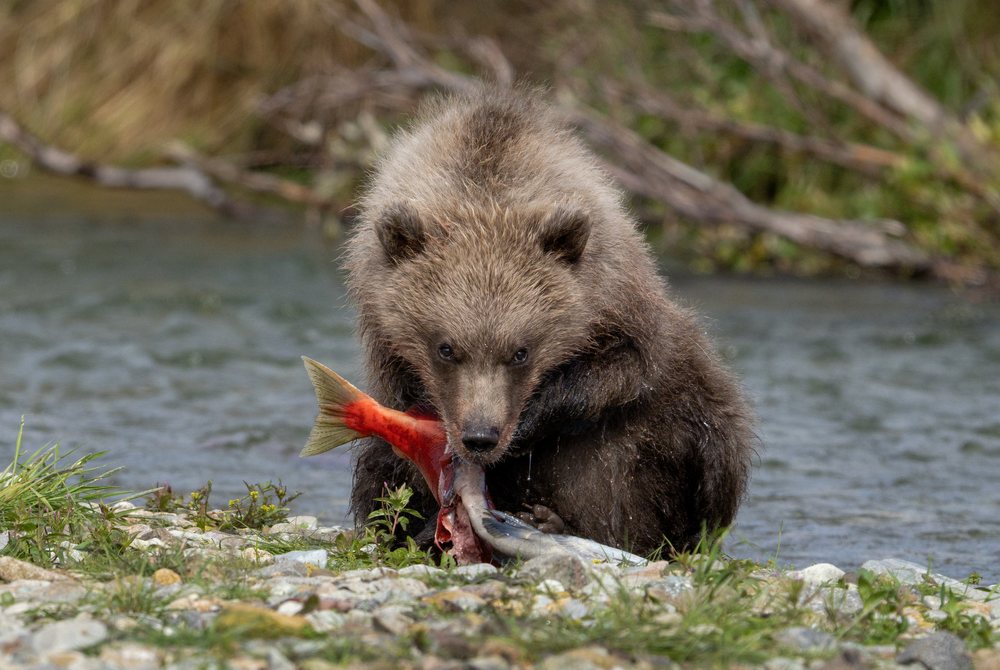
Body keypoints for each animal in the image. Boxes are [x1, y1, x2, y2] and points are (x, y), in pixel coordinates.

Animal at [343, 86, 754, 555]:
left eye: (521, 351)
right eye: (445, 348)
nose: (480, 436)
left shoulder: (617, 298)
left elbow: (625, 371)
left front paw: (529, 425)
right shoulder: (381, 326)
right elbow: (399, 434)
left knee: (708, 442)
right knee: (378, 467)